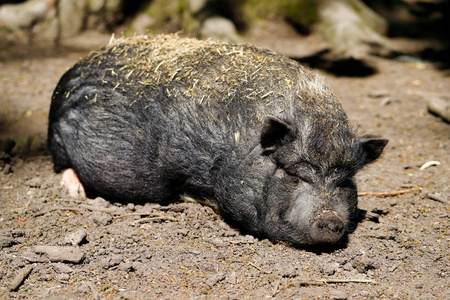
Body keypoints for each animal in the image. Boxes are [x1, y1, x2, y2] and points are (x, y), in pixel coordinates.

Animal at [48, 34, 386, 246]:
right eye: (293, 175)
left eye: (345, 182)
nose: (330, 219)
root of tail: (72, 70)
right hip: (57, 138)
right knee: (62, 164)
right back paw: (74, 192)